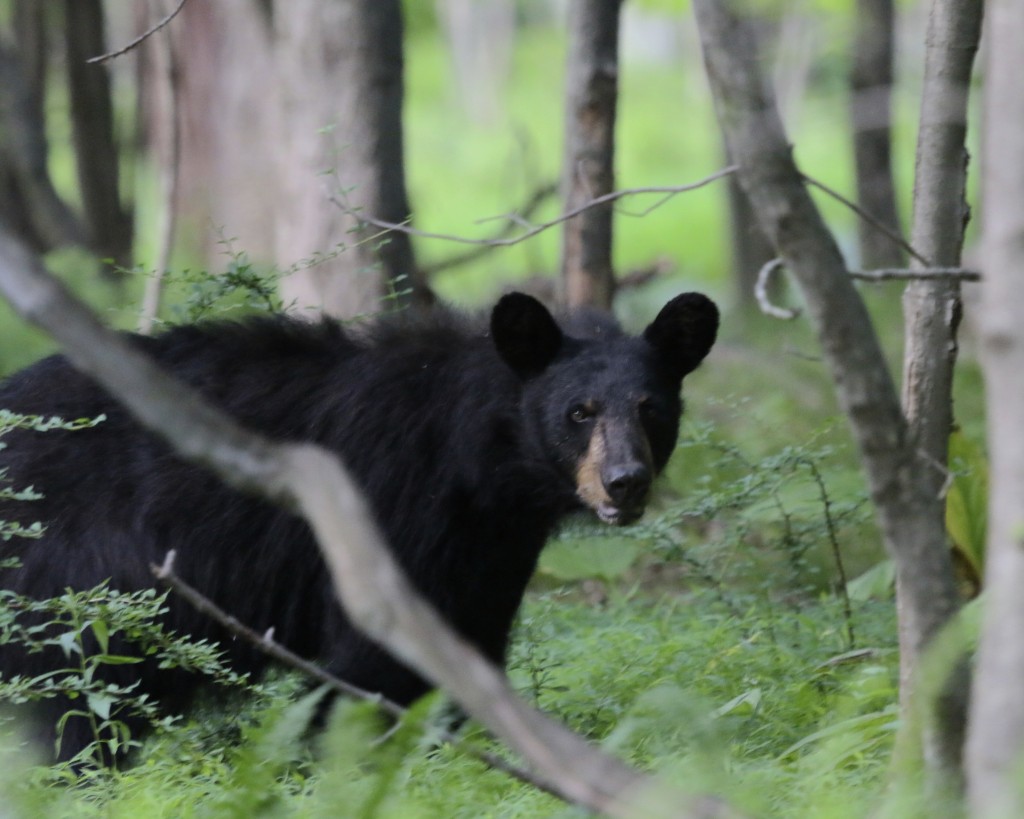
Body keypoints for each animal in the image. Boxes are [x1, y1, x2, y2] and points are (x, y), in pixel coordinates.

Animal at [0, 290, 720, 757]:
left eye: (651, 408)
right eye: (579, 412)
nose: (625, 480)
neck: (480, 465)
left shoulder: (488, 548)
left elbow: (465, 645)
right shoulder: (391, 507)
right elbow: (376, 661)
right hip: (77, 574)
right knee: (86, 696)